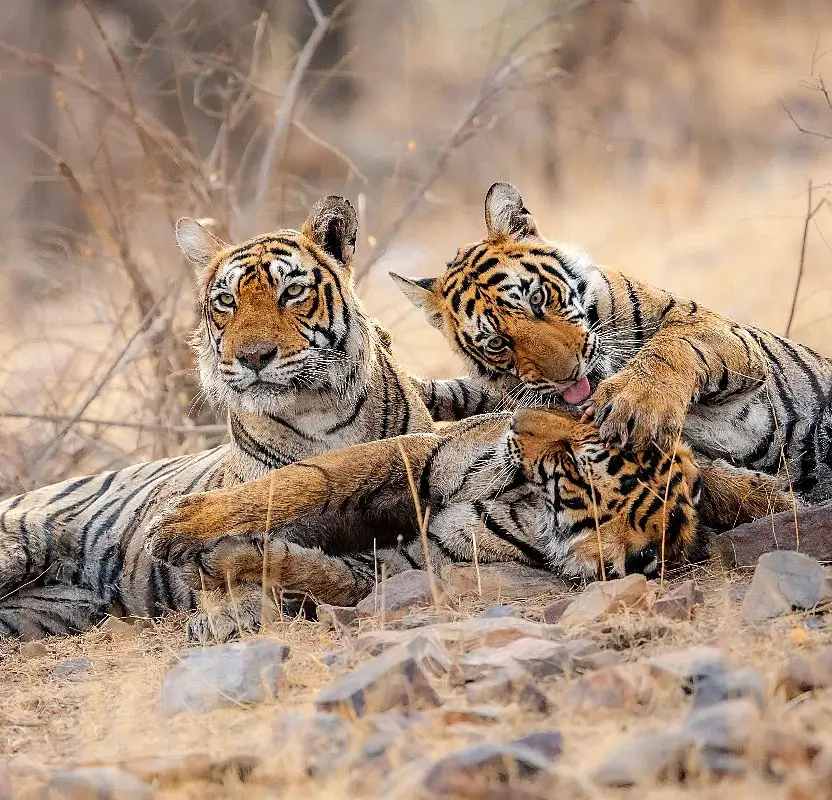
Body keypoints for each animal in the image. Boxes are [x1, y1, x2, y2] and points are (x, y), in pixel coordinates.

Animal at [389, 181, 832, 504]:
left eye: (537, 299)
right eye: (497, 343)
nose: (569, 377)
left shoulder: (712, 326)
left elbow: (670, 347)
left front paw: (634, 405)